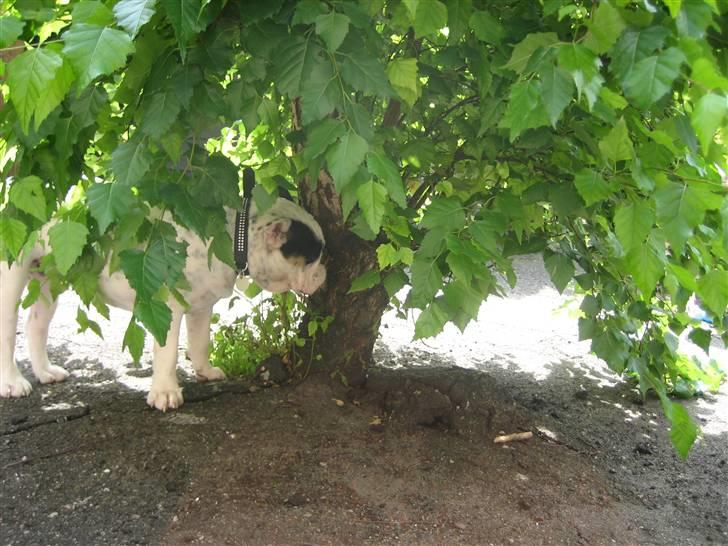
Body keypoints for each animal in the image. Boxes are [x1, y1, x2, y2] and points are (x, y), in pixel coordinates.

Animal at [0, 196, 324, 408]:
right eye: (313, 256)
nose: (325, 271)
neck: (234, 234)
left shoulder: (202, 305)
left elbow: (200, 341)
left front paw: (206, 372)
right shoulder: (166, 306)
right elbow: (167, 353)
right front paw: (166, 393)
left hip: (51, 277)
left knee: (36, 325)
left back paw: (45, 372)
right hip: (12, 274)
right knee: (8, 330)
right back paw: (13, 382)